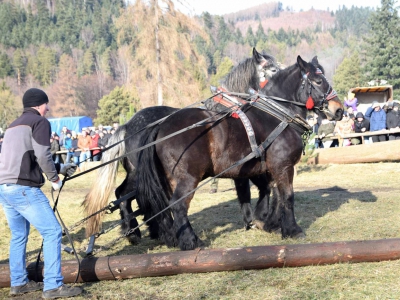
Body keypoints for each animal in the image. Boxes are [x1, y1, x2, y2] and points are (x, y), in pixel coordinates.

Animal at [83, 48, 280, 243]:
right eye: (273, 69)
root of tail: (126, 126)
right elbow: (245, 190)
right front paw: (250, 220)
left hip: (138, 172)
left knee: (129, 196)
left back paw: (141, 231)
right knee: (136, 197)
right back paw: (147, 232)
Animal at [132, 55, 344, 250]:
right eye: (318, 81)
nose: (339, 110)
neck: (276, 116)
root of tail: (161, 125)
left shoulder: (264, 168)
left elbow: (272, 192)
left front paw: (270, 223)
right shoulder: (282, 166)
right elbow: (287, 196)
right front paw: (292, 229)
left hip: (168, 179)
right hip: (188, 178)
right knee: (178, 204)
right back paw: (190, 241)